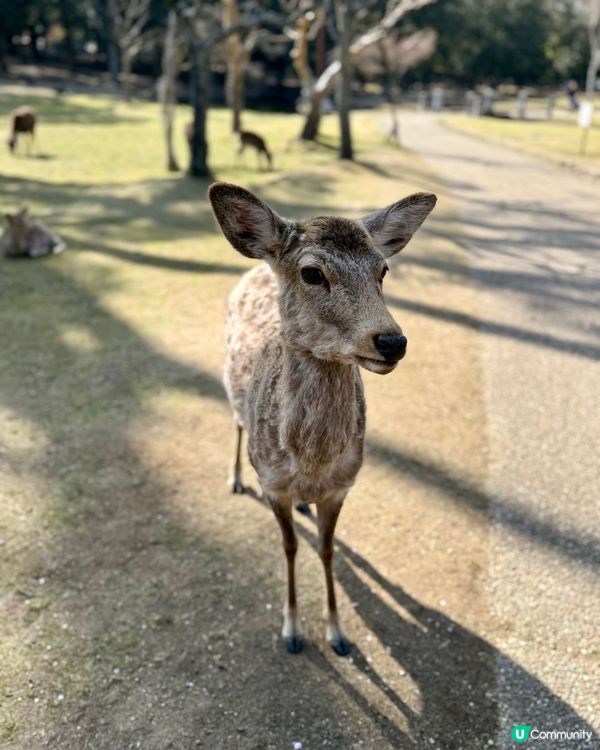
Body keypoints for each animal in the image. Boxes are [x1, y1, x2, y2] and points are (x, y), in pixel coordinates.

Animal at [208, 182, 436, 656]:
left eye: (382, 270)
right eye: (312, 273)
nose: (392, 341)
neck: (311, 464)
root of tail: (257, 269)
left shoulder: (342, 486)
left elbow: (328, 550)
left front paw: (337, 633)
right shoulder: (272, 483)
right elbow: (290, 547)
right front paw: (293, 630)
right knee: (237, 422)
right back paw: (234, 477)